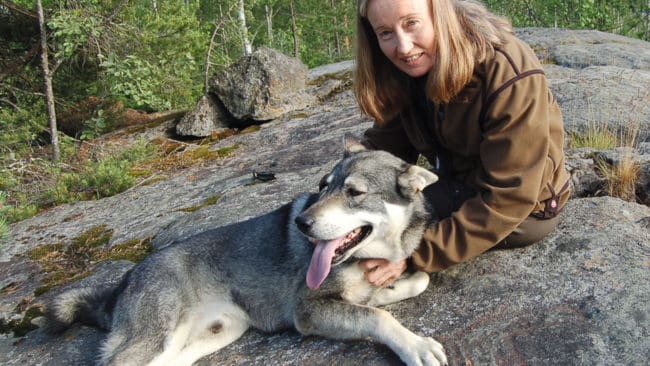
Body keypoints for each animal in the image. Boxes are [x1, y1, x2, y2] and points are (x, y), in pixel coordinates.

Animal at [46, 136, 446, 364]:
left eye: (354, 192)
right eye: (323, 185)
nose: (301, 223)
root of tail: (123, 282)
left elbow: (413, 283)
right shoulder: (307, 310)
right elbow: (378, 317)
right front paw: (416, 346)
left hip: (214, 335)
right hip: (158, 338)